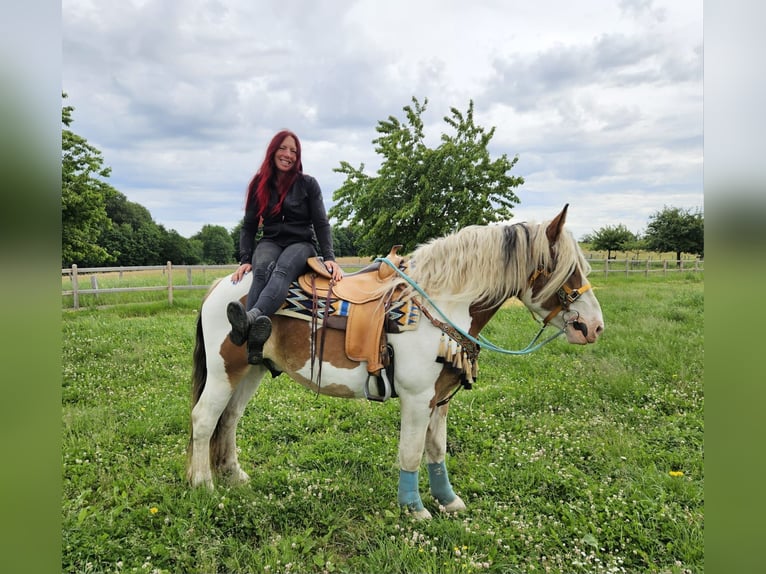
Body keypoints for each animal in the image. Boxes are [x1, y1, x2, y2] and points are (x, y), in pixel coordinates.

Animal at [187, 205, 604, 519]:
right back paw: (202, 484)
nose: (593, 326)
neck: (441, 306)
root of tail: (220, 288)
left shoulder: (440, 399)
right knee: (205, 419)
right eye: (567, 270)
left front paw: (448, 500)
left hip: (251, 371)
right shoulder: (417, 399)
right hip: (225, 373)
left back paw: (233, 476)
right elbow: (412, 451)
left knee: (229, 419)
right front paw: (414, 508)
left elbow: (436, 450)